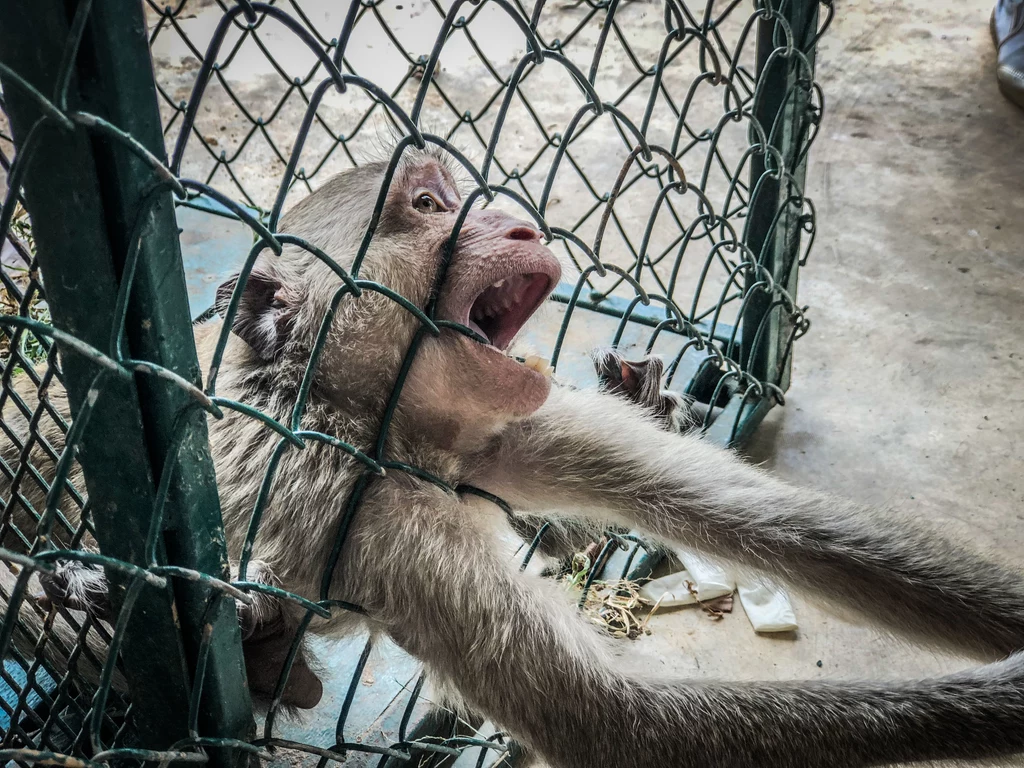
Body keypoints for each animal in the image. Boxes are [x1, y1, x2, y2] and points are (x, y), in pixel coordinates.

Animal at [8, 145, 1024, 768]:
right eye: (429, 205)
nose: (523, 224)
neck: (364, 418)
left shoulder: (503, 426)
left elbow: (768, 522)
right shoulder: (365, 510)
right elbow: (610, 722)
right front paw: (1002, 704)